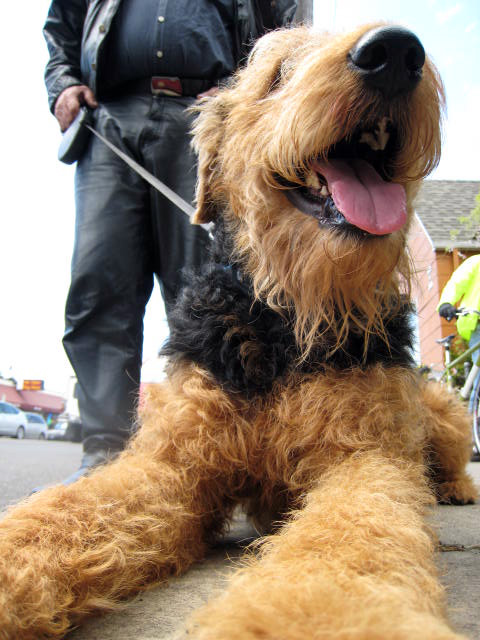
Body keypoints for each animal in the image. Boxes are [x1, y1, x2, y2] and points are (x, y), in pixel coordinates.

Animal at [0, 22, 476, 636]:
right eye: (277, 73)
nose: (395, 51)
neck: (285, 318)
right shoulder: (175, 467)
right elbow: (63, 516)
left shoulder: (365, 456)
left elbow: (347, 544)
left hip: (435, 407)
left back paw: (455, 487)